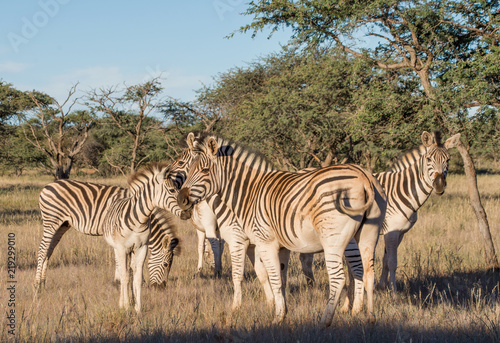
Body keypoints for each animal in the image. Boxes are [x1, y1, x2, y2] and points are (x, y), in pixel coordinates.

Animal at [36, 164, 184, 314]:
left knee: (48, 251)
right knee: (42, 250)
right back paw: (37, 288)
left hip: (62, 225)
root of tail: (49, 185)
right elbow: (126, 270)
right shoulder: (120, 242)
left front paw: (131, 300)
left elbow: (130, 270)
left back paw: (43, 284)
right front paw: (125, 296)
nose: (161, 288)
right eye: (166, 264)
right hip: (51, 221)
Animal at [178, 133, 384, 326]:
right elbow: (281, 279)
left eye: (204, 170)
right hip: (367, 235)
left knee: (339, 278)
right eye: (189, 169)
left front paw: (274, 317)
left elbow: (270, 277)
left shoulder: (261, 242)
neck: (249, 194)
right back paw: (369, 317)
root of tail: (364, 177)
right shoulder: (282, 246)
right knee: (368, 273)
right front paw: (283, 311)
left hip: (333, 239)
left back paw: (325, 320)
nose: (181, 199)